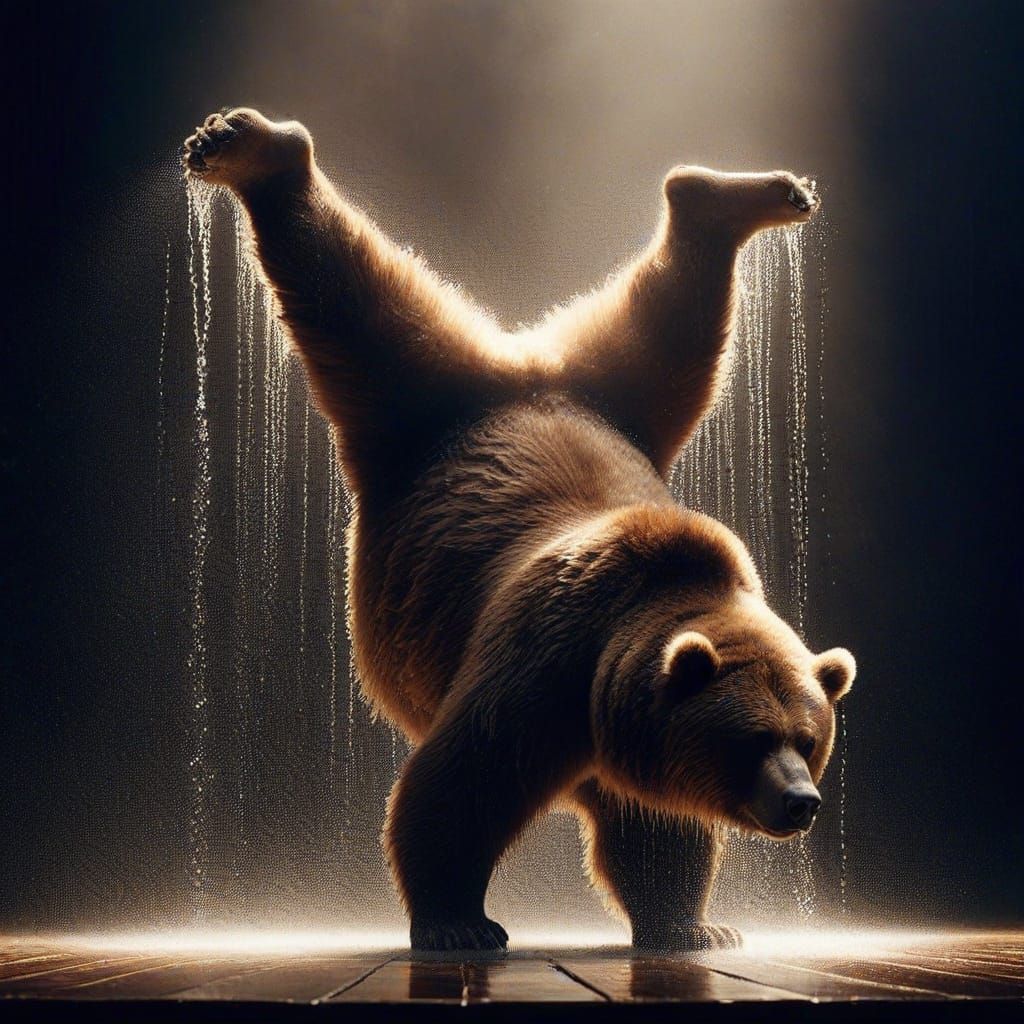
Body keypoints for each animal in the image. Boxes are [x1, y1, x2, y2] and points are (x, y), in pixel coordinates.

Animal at [183, 108, 855, 954]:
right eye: (755, 738)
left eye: (811, 737)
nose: (802, 801)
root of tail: (524, 375)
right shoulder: (547, 662)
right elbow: (463, 781)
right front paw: (459, 921)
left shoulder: (628, 716)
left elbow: (655, 830)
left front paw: (695, 927)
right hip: (421, 389)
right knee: (346, 291)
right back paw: (250, 146)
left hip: (624, 389)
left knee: (681, 313)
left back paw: (733, 194)